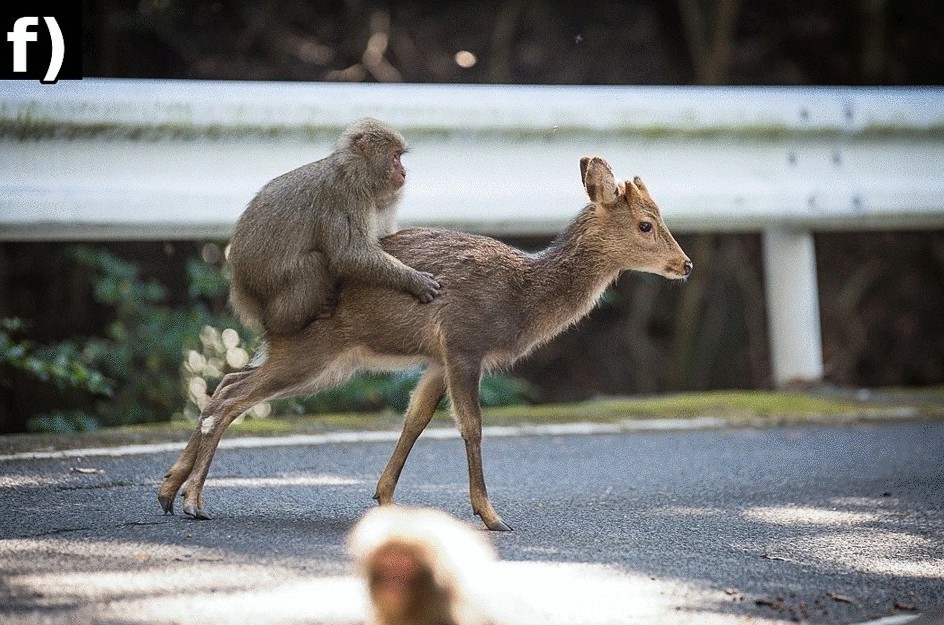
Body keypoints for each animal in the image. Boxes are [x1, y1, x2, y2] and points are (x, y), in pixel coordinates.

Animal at [226, 118, 441, 336]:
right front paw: (414, 280)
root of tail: (242, 290)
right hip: (268, 286)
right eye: (395, 156)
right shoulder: (345, 197)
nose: (403, 172)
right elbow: (349, 255)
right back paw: (286, 323)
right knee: (314, 263)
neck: (353, 172)